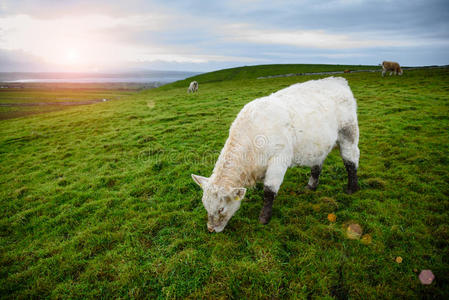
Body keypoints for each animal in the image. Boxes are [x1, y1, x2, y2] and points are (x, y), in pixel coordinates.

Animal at [191, 77, 358, 232]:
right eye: (205, 205)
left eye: (221, 209)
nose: (211, 229)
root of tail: (338, 80)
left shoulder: (279, 160)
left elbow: (269, 190)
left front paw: (264, 218)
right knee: (317, 163)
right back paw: (311, 186)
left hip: (348, 133)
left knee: (351, 161)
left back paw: (352, 188)